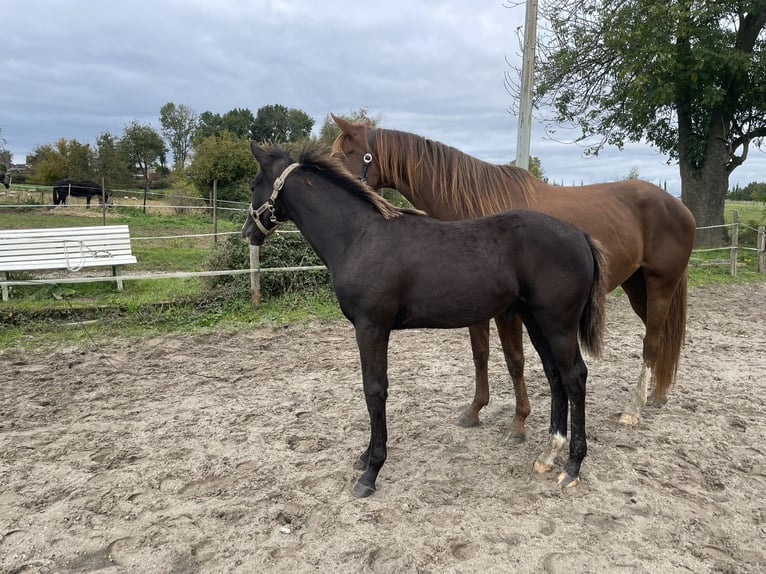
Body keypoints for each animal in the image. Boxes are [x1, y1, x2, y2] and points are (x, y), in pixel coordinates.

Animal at [243, 141, 608, 500]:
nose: (248, 232)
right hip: (536, 322)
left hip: (558, 325)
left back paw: (572, 467)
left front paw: (371, 471)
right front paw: (365, 457)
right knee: (555, 376)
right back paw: (549, 453)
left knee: (575, 377)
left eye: (253, 183)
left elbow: (374, 390)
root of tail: (580, 235)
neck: (359, 236)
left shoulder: (371, 328)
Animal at [332, 117, 700, 440]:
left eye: (344, 153)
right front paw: (475, 410)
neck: (474, 205)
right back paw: (658, 395)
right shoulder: (476, 308)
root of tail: (679, 205)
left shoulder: (507, 312)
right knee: (661, 338)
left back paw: (633, 409)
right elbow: (480, 355)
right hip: (638, 287)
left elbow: (515, 360)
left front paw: (519, 422)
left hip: (660, 284)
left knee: (652, 341)